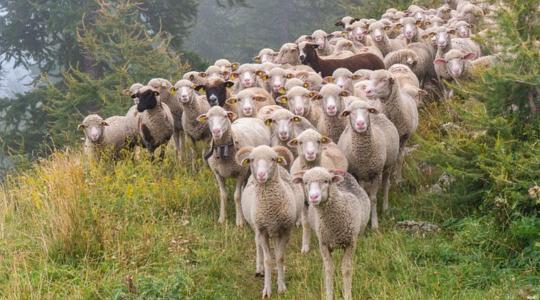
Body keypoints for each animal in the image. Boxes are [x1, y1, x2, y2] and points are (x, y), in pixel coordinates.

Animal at [235, 145, 306, 298]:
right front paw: (267, 289)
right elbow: (268, 260)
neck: (270, 209)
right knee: (258, 245)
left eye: (273, 159)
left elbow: (280, 257)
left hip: (275, 231)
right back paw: (259, 269)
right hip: (257, 227)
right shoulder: (262, 231)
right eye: (251, 159)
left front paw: (281, 286)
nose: (261, 175)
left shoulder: (285, 230)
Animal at [292, 168, 372, 300]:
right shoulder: (323, 244)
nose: (313, 197)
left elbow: (346, 270)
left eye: (326, 181)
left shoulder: (350, 243)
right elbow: (329, 270)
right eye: (305, 182)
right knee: (306, 224)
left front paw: (347, 295)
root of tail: (337, 170)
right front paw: (329, 294)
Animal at [340, 99, 398, 229]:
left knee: (386, 185)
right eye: (350, 112)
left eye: (367, 110)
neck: (363, 157)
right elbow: (364, 197)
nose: (361, 124)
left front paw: (374, 224)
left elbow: (373, 199)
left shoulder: (376, 173)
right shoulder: (358, 174)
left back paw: (385, 208)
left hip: (388, 165)